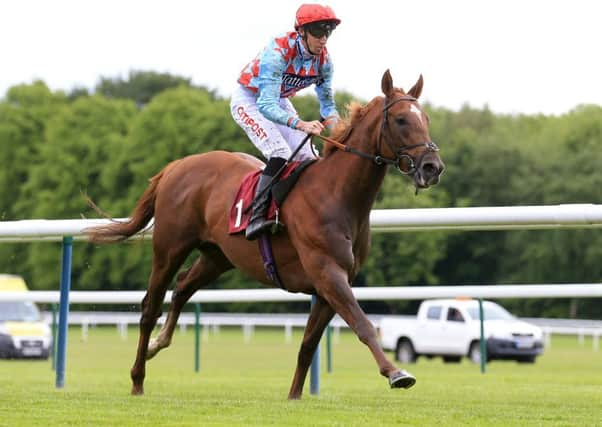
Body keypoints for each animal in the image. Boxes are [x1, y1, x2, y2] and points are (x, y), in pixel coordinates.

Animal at [84, 70, 442, 402]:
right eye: (401, 119)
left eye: (425, 118)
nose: (432, 167)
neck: (337, 195)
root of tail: (177, 166)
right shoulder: (328, 273)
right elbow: (363, 324)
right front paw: (396, 373)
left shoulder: (332, 283)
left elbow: (308, 344)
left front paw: (294, 396)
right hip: (169, 248)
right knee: (150, 306)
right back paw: (137, 377)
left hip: (218, 255)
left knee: (183, 285)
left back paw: (160, 342)